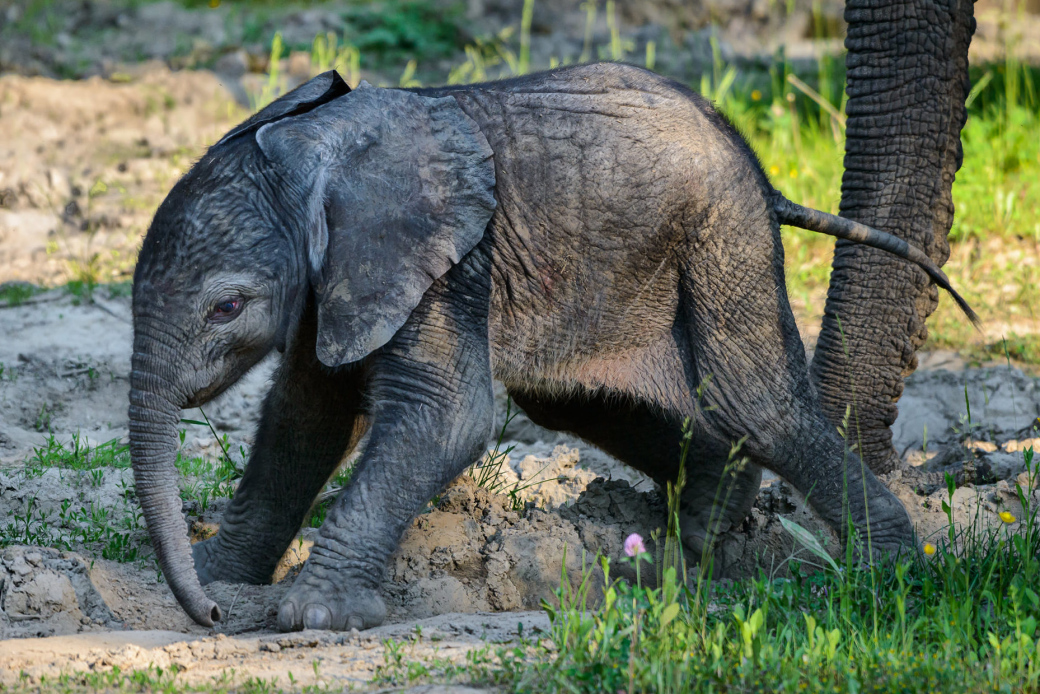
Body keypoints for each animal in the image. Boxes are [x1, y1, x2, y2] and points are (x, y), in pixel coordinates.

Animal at [130, 63, 973, 628]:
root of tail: (761, 172)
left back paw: (889, 574)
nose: (207, 618)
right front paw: (219, 579)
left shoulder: (446, 262)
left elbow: (444, 416)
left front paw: (308, 615)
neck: (318, 144)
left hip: (722, 228)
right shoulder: (339, 281)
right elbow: (303, 419)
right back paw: (700, 539)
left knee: (753, 402)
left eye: (227, 308)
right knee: (574, 399)